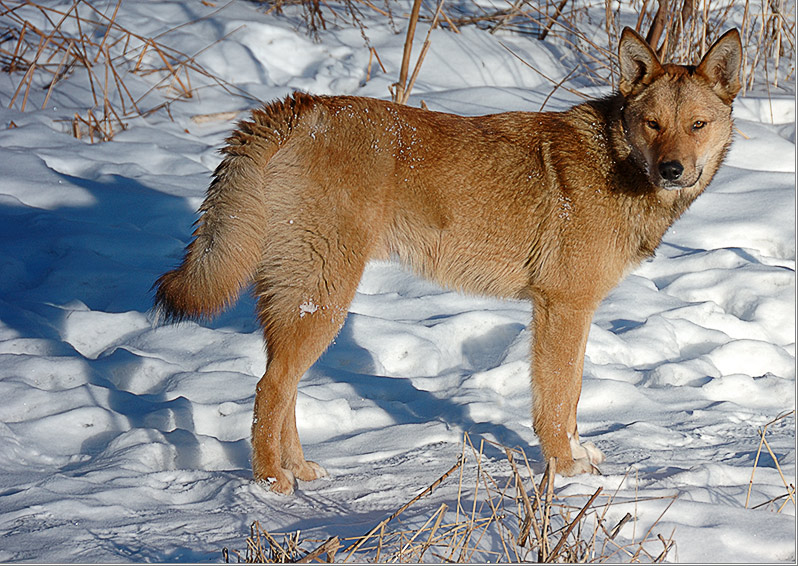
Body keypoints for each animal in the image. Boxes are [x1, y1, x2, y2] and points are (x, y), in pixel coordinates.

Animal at [155, 27, 744, 496]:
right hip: (323, 298)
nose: (672, 170)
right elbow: (555, 405)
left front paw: (580, 458)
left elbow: (572, 398)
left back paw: (301, 470)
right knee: (268, 389)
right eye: (652, 123)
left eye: (696, 125)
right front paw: (567, 472)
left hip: (306, 302)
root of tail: (295, 108)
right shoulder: (562, 307)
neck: (618, 164)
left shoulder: (572, 311)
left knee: (283, 389)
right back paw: (271, 484)